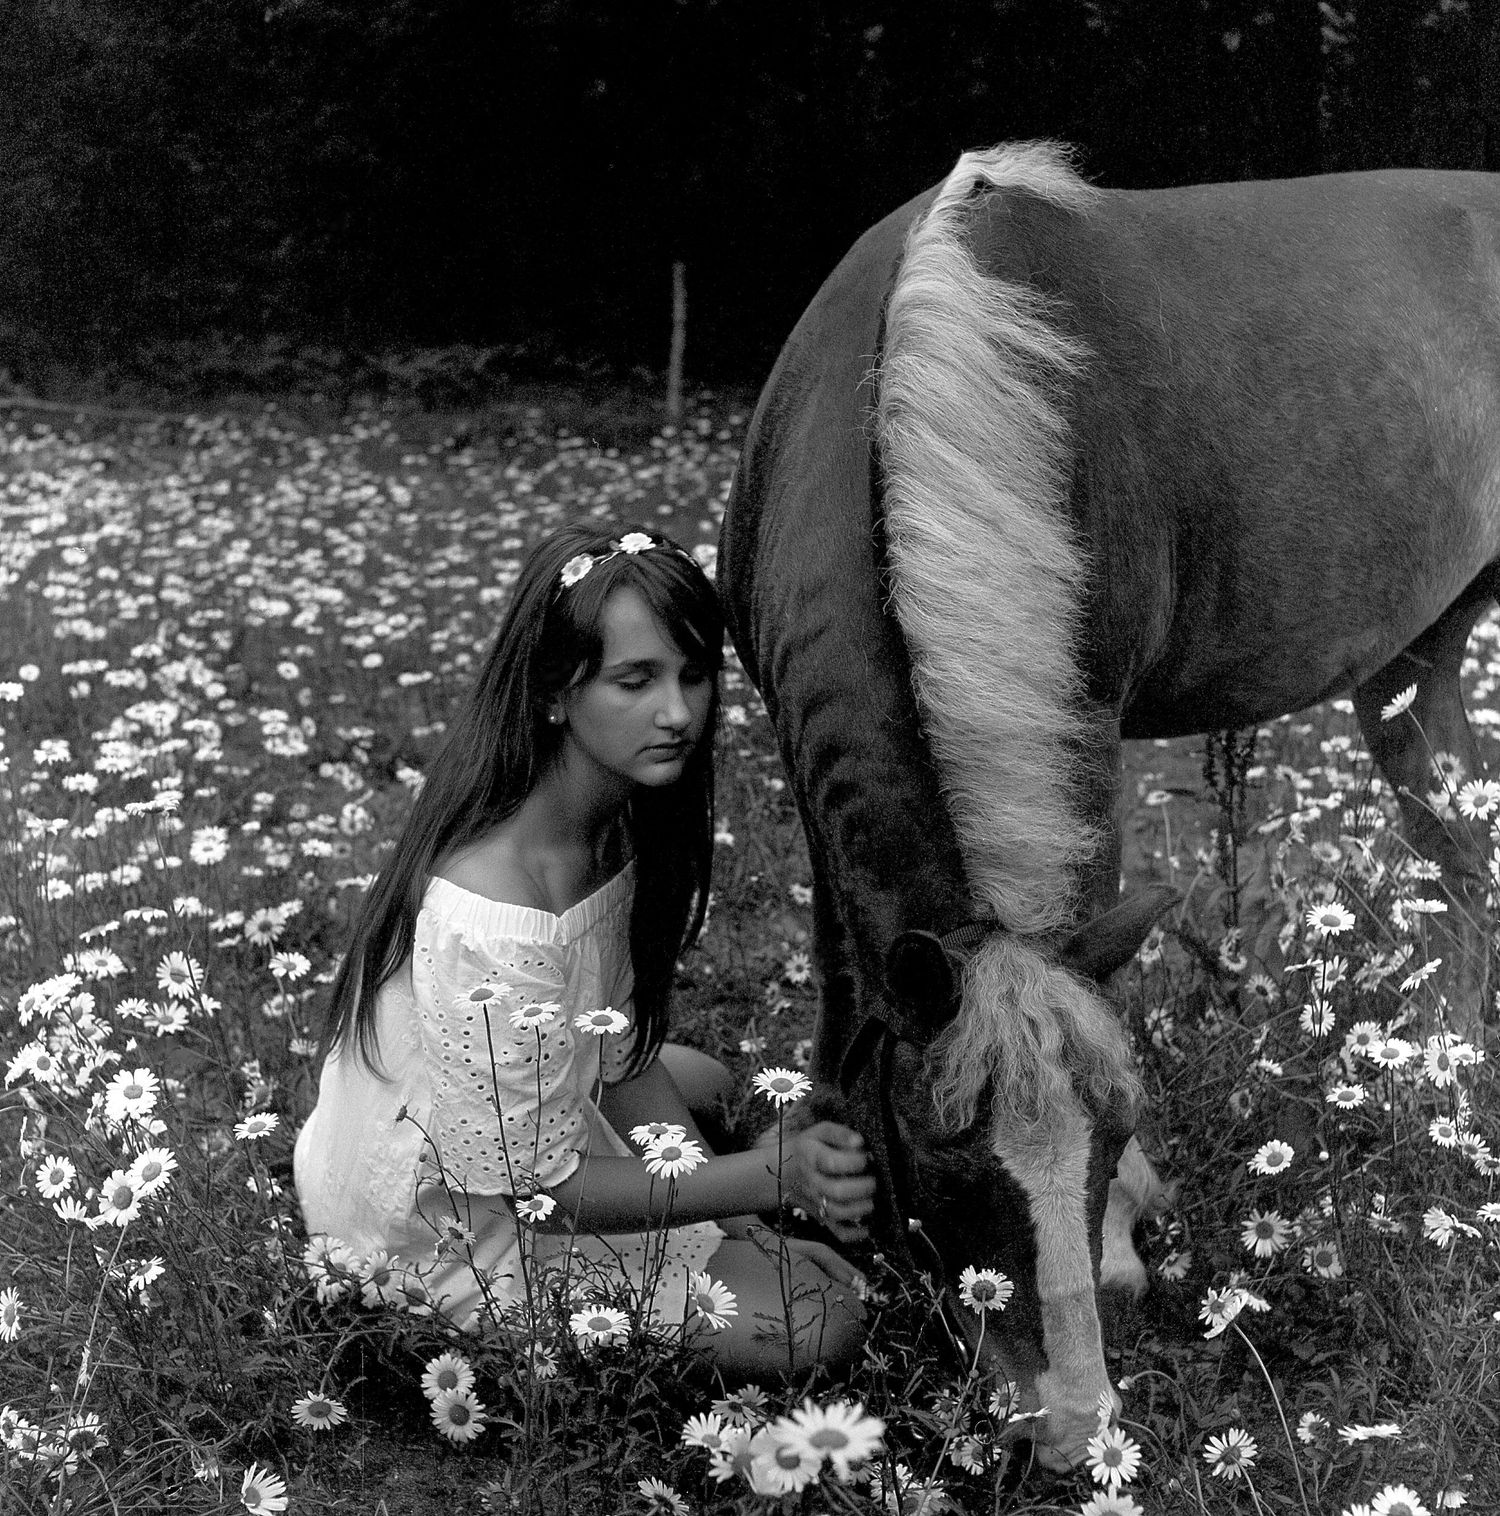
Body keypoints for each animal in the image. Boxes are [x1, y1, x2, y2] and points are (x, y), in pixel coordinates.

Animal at [718, 141, 1500, 1470]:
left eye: (1115, 1132)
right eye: (948, 1172)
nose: (1076, 1424)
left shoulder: (1087, 729)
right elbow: (839, 983)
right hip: (1418, 659)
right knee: (1461, 856)